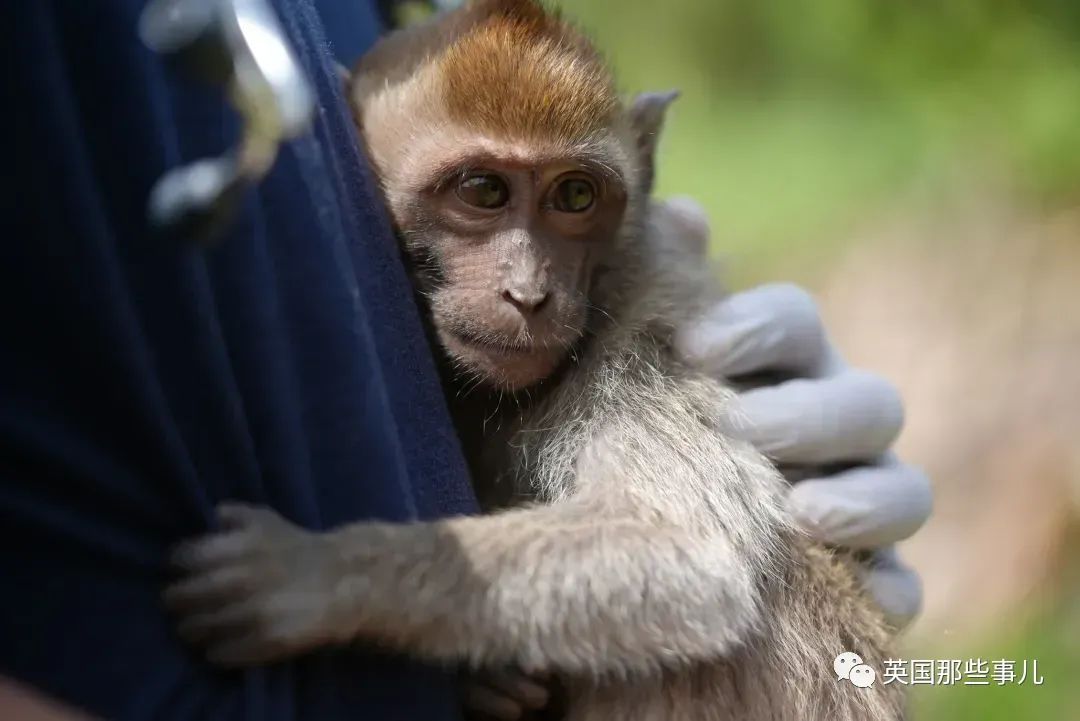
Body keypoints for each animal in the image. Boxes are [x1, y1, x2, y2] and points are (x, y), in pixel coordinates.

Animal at [164, 2, 907, 716]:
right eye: (484, 191)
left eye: (575, 195)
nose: (528, 293)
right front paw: (486, 677)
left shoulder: (643, 344)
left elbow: (689, 555)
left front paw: (321, 574)